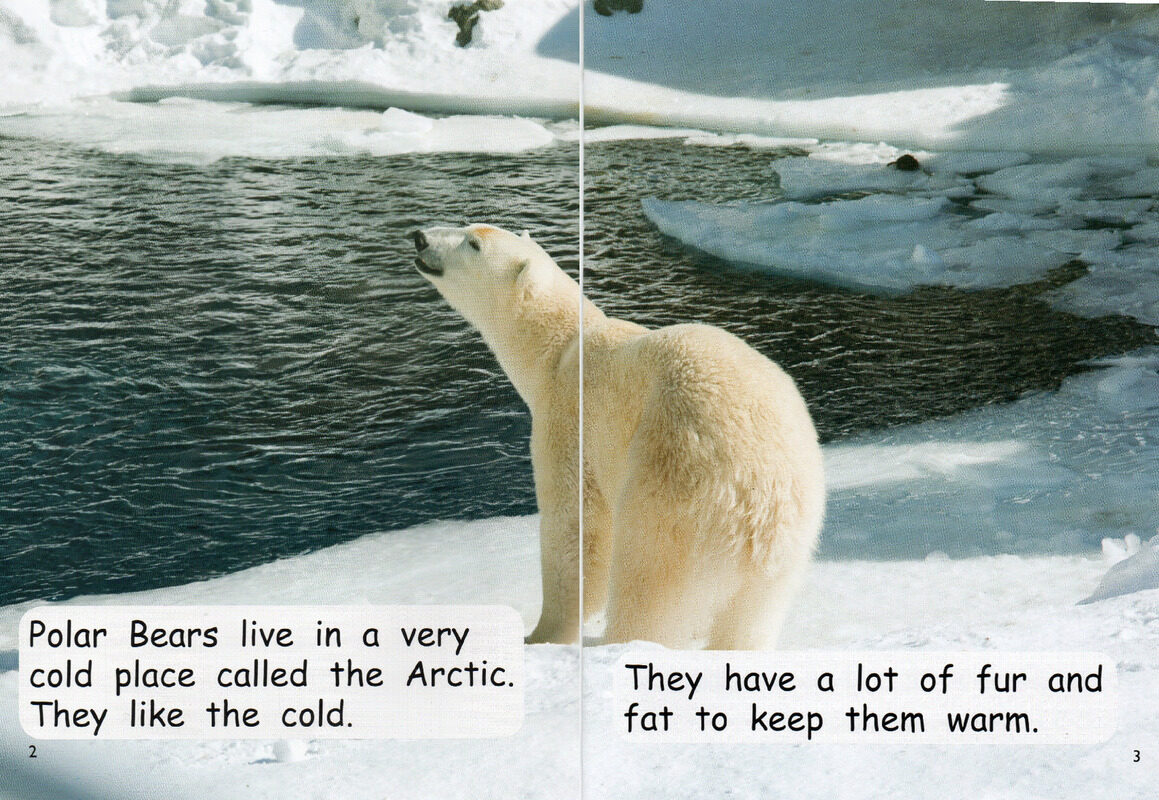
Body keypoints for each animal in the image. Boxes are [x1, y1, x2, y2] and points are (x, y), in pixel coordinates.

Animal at [411, 224, 824, 649]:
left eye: (473, 243)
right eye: (466, 227)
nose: (420, 237)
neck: (562, 349)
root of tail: (763, 495)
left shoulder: (570, 421)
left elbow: (576, 529)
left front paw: (540, 636)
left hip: (678, 486)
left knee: (647, 580)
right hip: (788, 544)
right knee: (751, 619)